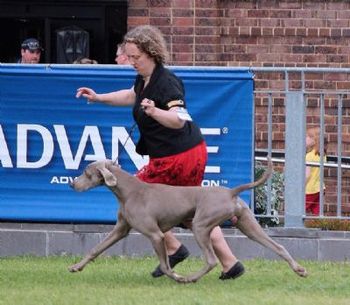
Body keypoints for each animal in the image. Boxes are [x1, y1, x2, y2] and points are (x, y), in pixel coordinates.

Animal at [67, 159, 306, 282]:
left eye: (86, 173)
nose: (71, 184)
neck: (128, 191)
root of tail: (231, 192)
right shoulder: (120, 229)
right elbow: (95, 249)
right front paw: (76, 267)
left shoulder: (155, 234)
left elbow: (165, 265)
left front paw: (176, 276)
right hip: (247, 225)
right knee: (278, 246)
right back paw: (299, 269)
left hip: (200, 226)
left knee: (211, 260)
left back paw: (190, 278)